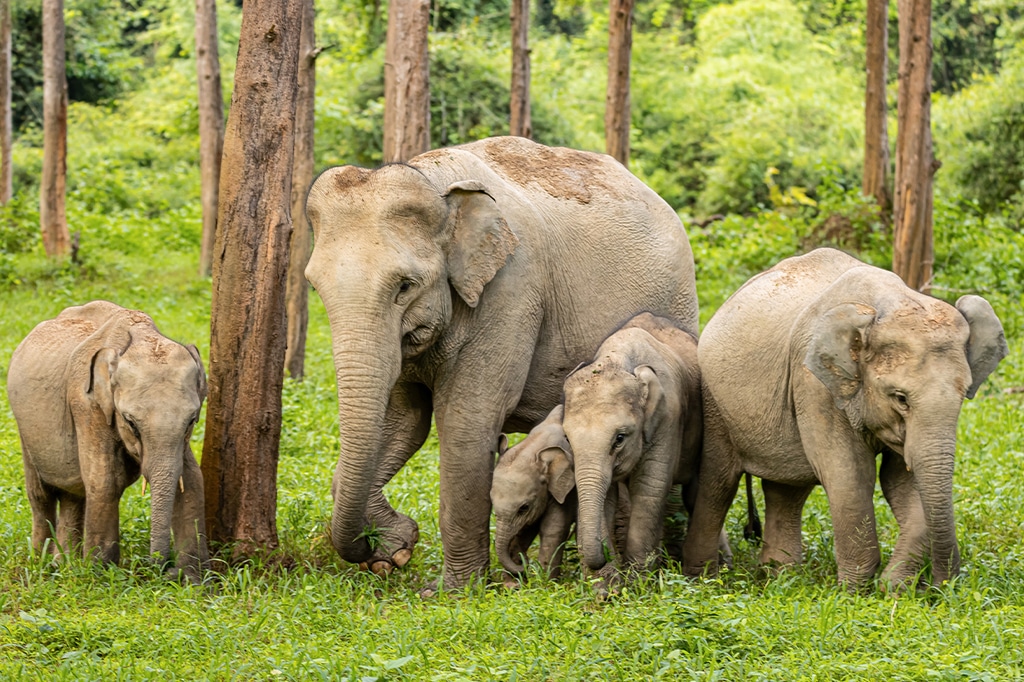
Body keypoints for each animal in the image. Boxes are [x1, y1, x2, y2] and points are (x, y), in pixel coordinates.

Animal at [6, 301, 209, 583]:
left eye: (192, 421)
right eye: (131, 423)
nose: (161, 569)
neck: (137, 337)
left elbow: (191, 479)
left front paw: (190, 578)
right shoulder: (86, 404)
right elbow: (105, 481)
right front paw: (101, 576)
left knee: (74, 495)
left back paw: (64, 564)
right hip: (25, 430)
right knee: (41, 494)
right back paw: (42, 561)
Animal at [562, 313, 710, 581]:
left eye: (620, 438)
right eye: (567, 439)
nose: (603, 556)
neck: (616, 360)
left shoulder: (668, 419)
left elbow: (649, 487)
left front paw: (638, 582)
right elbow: (606, 495)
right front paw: (607, 587)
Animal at [682, 248, 1008, 590]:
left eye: (964, 394)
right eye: (900, 398)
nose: (944, 585)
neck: (887, 303)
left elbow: (899, 479)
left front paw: (893, 588)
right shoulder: (814, 383)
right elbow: (849, 474)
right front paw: (855, 592)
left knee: (786, 488)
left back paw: (779, 575)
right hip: (714, 402)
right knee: (719, 481)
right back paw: (704, 578)